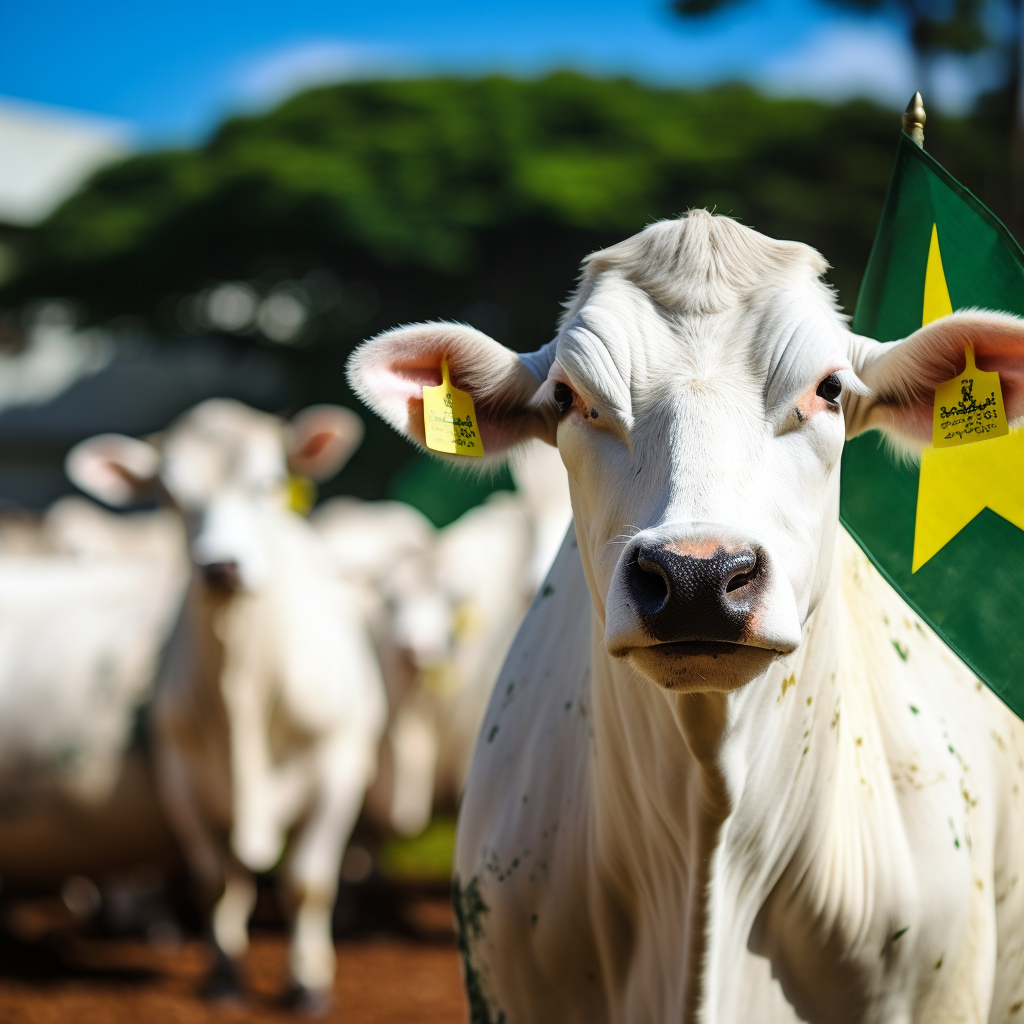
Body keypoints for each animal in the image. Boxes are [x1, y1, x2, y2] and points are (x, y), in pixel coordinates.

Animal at [67, 397, 387, 1007]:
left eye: (268, 482)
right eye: (169, 495)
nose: (220, 567)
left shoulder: (338, 770)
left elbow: (307, 881)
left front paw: (307, 981)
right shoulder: (181, 779)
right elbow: (218, 881)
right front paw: (223, 975)